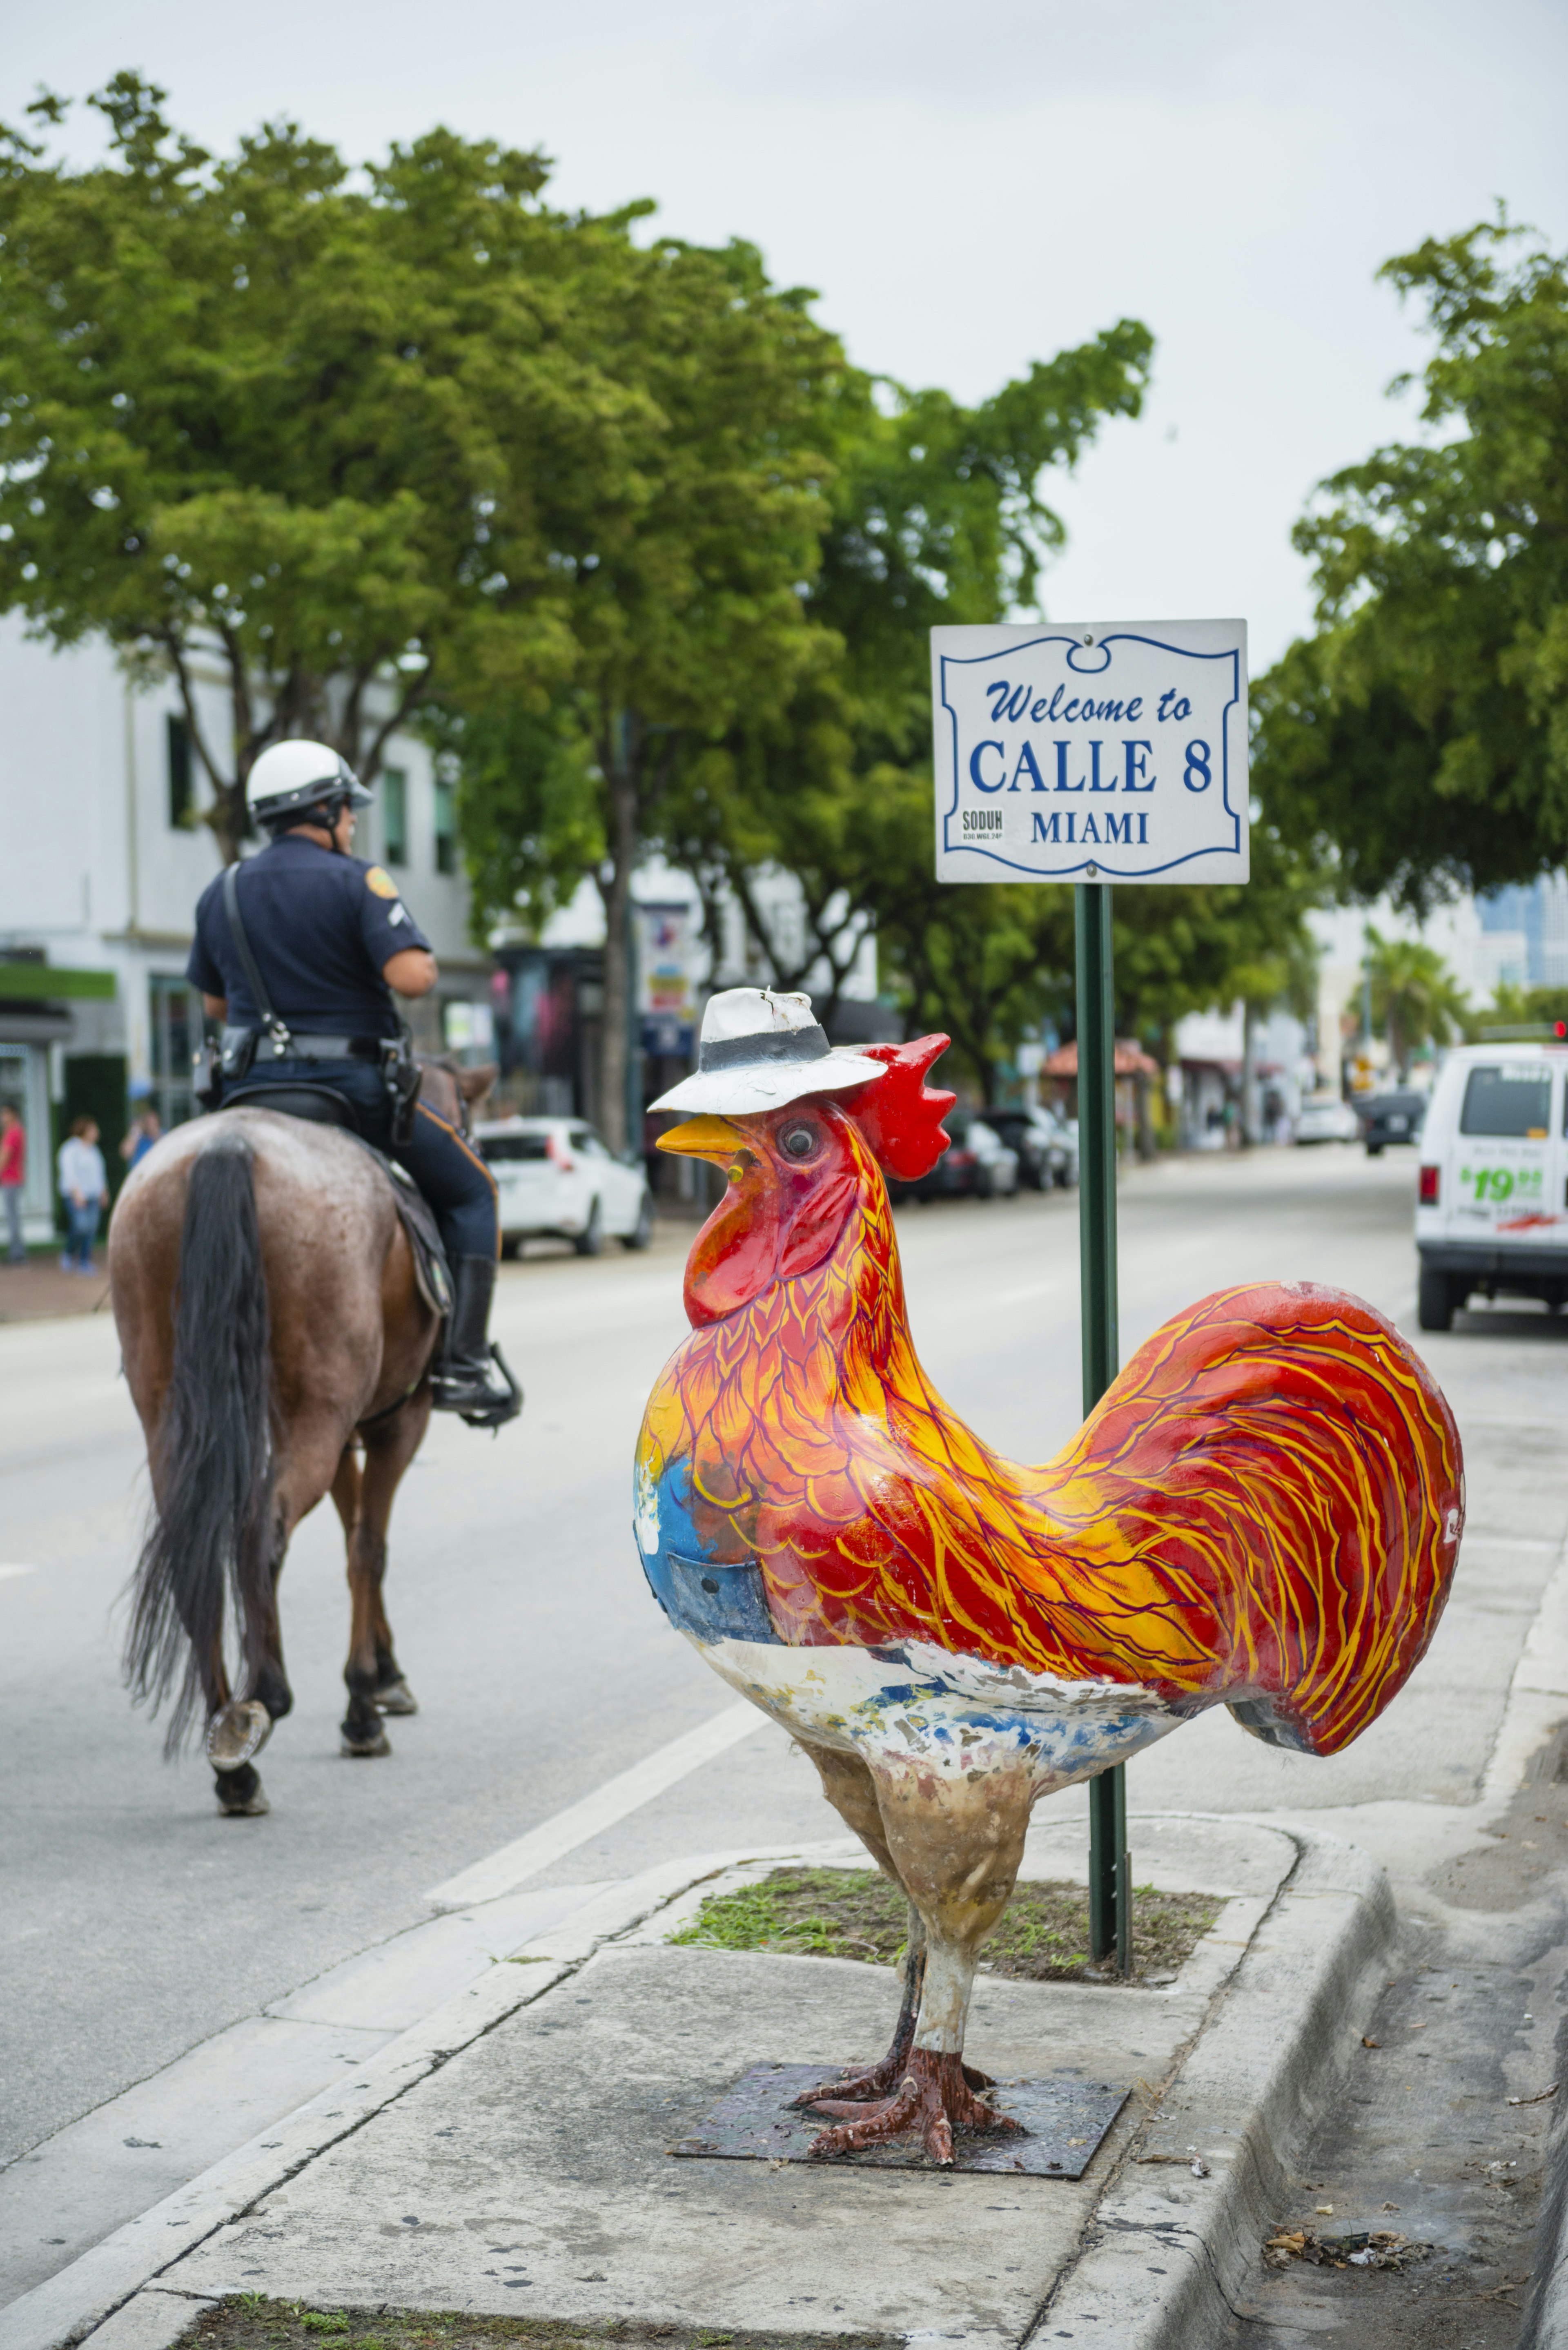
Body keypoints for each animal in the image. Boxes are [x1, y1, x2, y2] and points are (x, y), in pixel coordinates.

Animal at [107, 1062, 496, 1814]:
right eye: (466, 1123)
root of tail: (228, 1145)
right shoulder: (395, 1419)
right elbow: (368, 1548)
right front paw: (365, 1700)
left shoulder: (342, 1432)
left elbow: (349, 1541)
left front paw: (381, 1675)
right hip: (324, 1412)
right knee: (262, 1530)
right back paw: (266, 1702)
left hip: (172, 1411)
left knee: (202, 1550)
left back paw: (232, 1751)